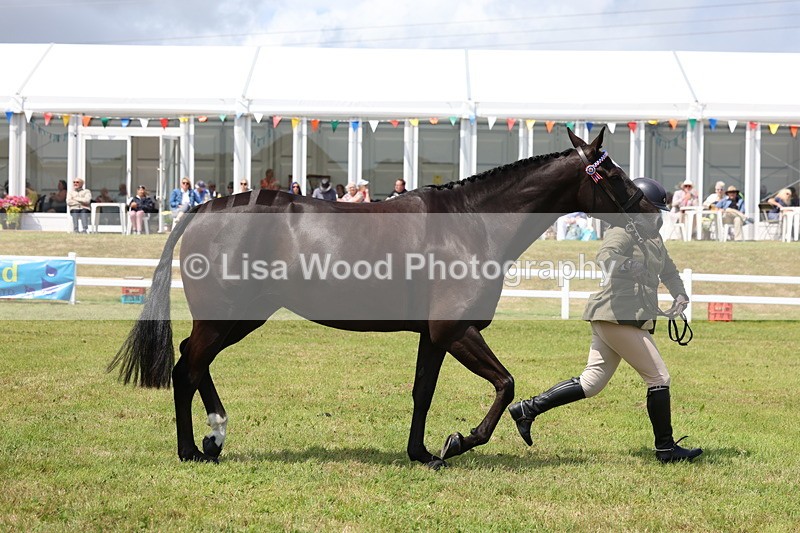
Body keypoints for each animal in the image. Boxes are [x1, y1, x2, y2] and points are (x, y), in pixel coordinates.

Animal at [109, 128, 660, 469]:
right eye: (613, 175)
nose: (653, 212)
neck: (470, 223)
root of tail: (205, 208)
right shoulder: (455, 330)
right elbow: (504, 385)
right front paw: (458, 442)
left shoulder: (434, 336)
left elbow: (423, 391)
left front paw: (422, 452)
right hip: (227, 316)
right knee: (187, 367)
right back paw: (193, 448)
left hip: (243, 316)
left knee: (194, 362)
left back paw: (214, 435)